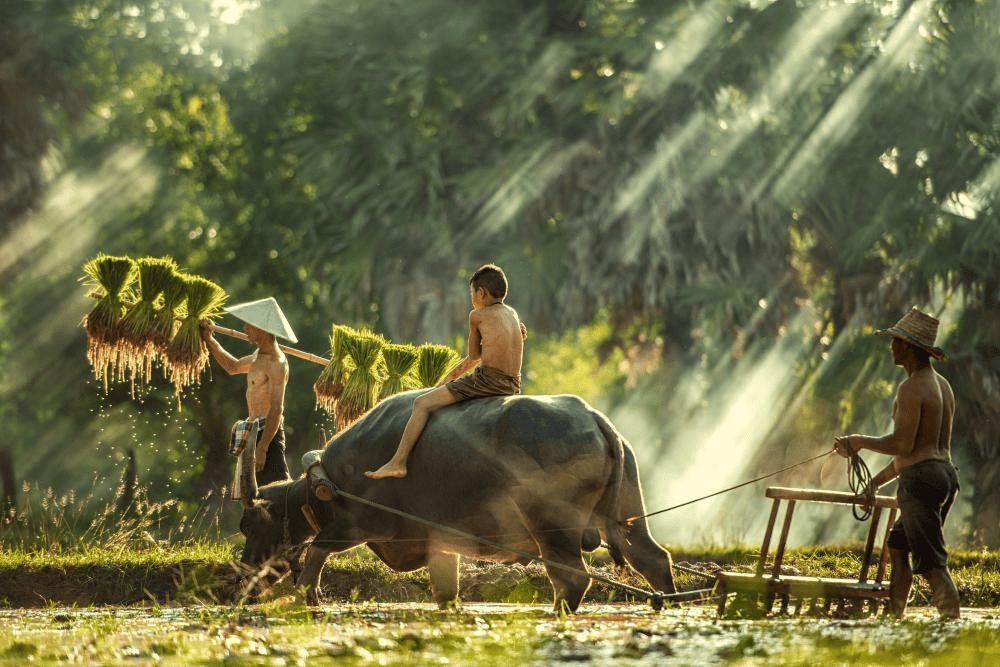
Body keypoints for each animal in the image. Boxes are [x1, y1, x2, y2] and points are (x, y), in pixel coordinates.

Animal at [235, 391, 675, 612]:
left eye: (249, 525)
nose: (244, 575)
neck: (330, 482)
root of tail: (592, 418)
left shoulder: (366, 523)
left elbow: (317, 548)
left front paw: (306, 597)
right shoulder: (438, 541)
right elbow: (445, 589)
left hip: (551, 525)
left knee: (572, 577)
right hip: (627, 514)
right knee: (652, 558)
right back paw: (669, 603)